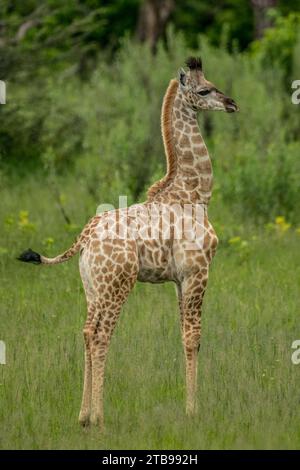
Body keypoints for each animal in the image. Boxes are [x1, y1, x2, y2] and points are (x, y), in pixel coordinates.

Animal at [19, 57, 239, 428]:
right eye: (205, 90)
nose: (232, 104)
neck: (196, 195)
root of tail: (84, 238)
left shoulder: (178, 280)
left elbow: (183, 334)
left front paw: (188, 406)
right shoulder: (198, 271)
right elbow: (193, 337)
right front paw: (193, 410)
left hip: (93, 288)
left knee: (87, 332)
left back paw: (82, 416)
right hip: (118, 285)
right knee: (101, 336)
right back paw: (99, 418)